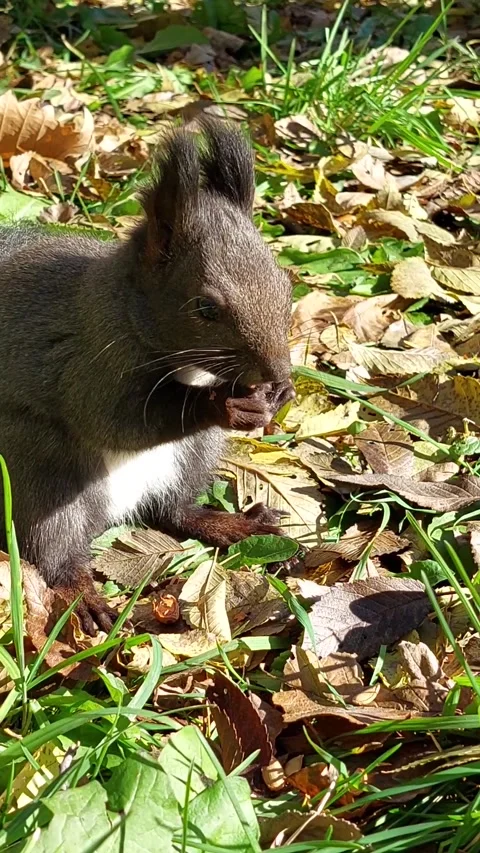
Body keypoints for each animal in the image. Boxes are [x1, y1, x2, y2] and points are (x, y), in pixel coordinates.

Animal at [0, 118, 295, 634]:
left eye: (286, 283)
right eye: (205, 307)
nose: (277, 369)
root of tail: (115, 512)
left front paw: (278, 393)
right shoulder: (92, 359)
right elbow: (115, 419)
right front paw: (222, 405)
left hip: (193, 457)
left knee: (174, 511)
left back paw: (236, 524)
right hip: (38, 469)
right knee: (54, 552)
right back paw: (84, 600)